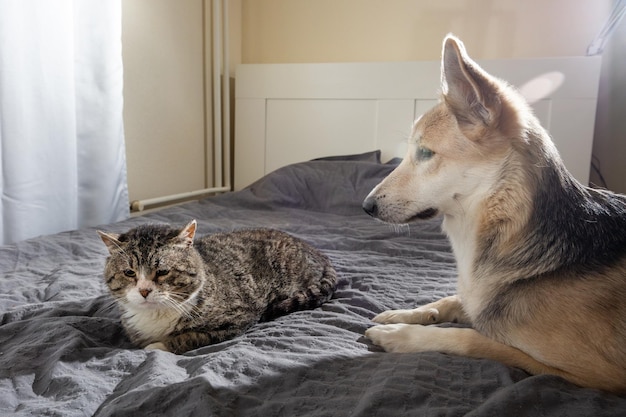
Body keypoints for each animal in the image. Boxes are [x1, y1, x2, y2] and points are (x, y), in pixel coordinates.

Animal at [96, 219, 336, 352]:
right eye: (129, 273)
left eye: (163, 271)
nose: (144, 290)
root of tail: (317, 251)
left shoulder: (239, 317)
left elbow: (192, 337)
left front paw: (158, 346)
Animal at [360, 34, 624, 392]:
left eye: (425, 153)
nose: (366, 207)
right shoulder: (477, 294)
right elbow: (452, 300)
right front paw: (405, 313)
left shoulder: (595, 374)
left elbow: (472, 338)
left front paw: (401, 334)